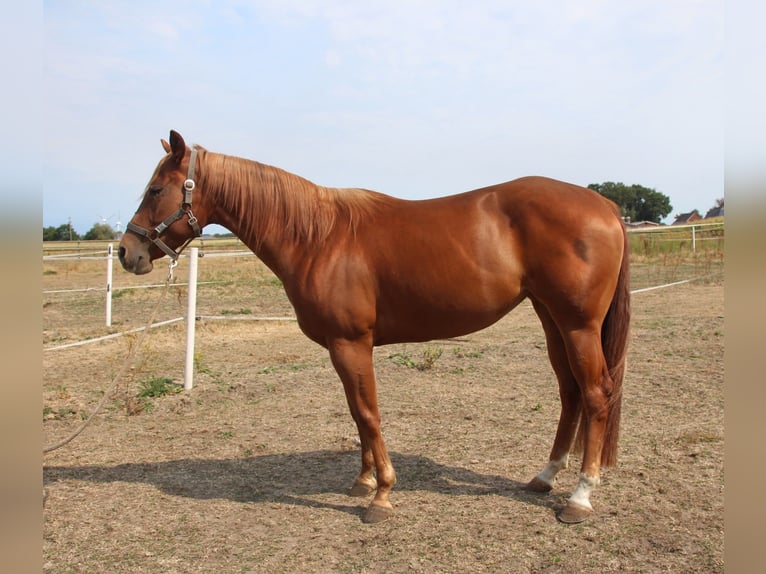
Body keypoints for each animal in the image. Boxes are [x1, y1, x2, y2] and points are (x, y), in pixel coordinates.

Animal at [119, 130, 630, 524]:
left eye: (155, 190)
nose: (128, 252)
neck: (318, 238)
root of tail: (605, 204)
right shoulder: (341, 347)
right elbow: (355, 412)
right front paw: (363, 481)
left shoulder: (351, 343)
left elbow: (368, 413)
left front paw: (381, 496)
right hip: (552, 319)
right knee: (570, 392)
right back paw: (545, 477)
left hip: (579, 325)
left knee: (596, 394)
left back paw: (580, 497)